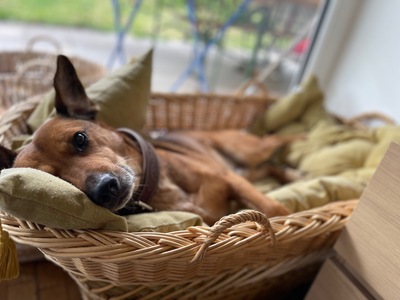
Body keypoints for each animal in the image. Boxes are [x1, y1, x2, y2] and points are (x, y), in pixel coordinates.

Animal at [0, 56, 294, 225]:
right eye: (53, 180)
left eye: (80, 138)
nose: (104, 189)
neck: (163, 188)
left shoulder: (233, 181)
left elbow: (274, 208)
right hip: (249, 170)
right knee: (270, 166)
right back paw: (290, 173)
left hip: (247, 153)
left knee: (279, 139)